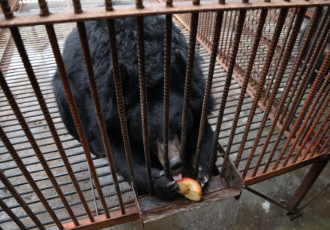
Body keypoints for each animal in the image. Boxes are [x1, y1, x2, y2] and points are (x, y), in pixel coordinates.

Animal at [52, 15, 214, 200]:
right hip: (65, 89)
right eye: (149, 136)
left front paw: (202, 168)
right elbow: (118, 151)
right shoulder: (105, 106)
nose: (175, 165)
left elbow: (202, 126)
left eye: (180, 128)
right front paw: (157, 182)